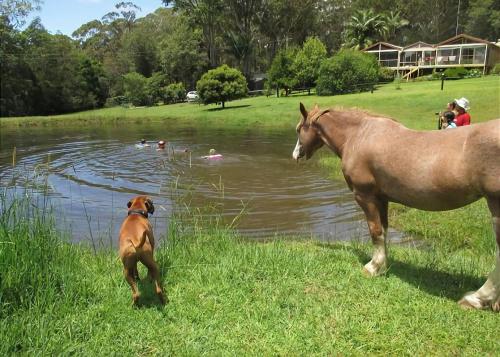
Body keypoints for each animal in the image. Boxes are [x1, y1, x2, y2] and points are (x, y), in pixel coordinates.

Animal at [292, 102, 500, 308]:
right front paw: (383, 266)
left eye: (298, 129)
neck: (358, 135)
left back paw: (477, 298)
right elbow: (383, 231)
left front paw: (373, 267)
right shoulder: (381, 199)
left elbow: (375, 232)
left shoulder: (365, 196)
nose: (295, 155)